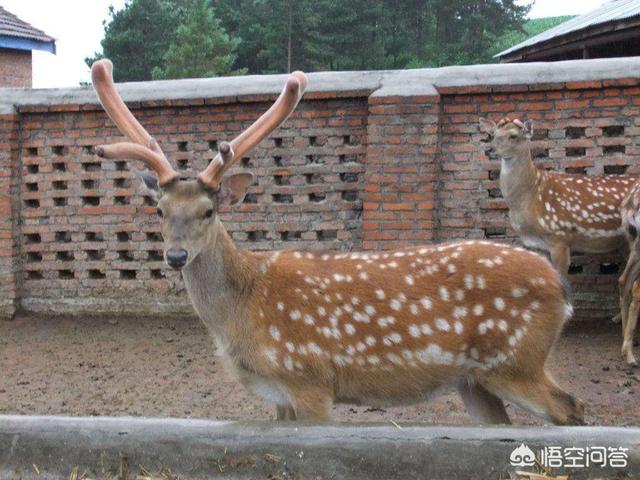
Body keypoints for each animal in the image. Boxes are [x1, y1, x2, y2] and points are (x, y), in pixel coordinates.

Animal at [90, 59, 584, 424]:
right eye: (159, 210)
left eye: (208, 212)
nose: (175, 256)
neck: (243, 310)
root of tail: (560, 289)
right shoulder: (280, 395)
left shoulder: (309, 380)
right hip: (475, 380)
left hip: (515, 360)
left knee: (570, 407)